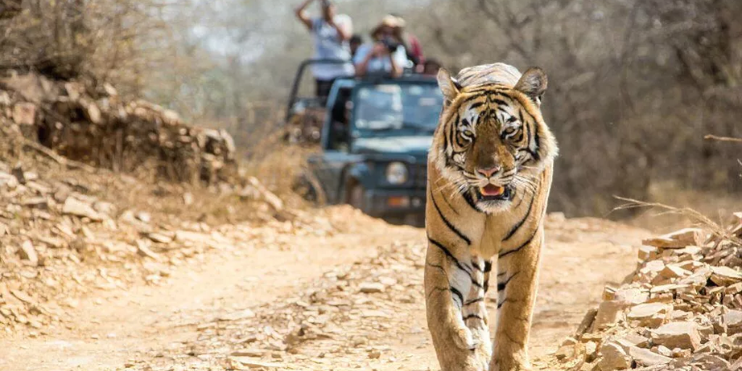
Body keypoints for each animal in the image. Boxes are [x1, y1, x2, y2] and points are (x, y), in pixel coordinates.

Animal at [424, 62, 560, 370]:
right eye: (467, 134)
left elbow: (515, 313)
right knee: (473, 302)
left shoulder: (524, 244)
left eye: (508, 132)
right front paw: (460, 359)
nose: (488, 171)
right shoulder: (446, 245)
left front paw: (509, 364)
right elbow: (440, 311)